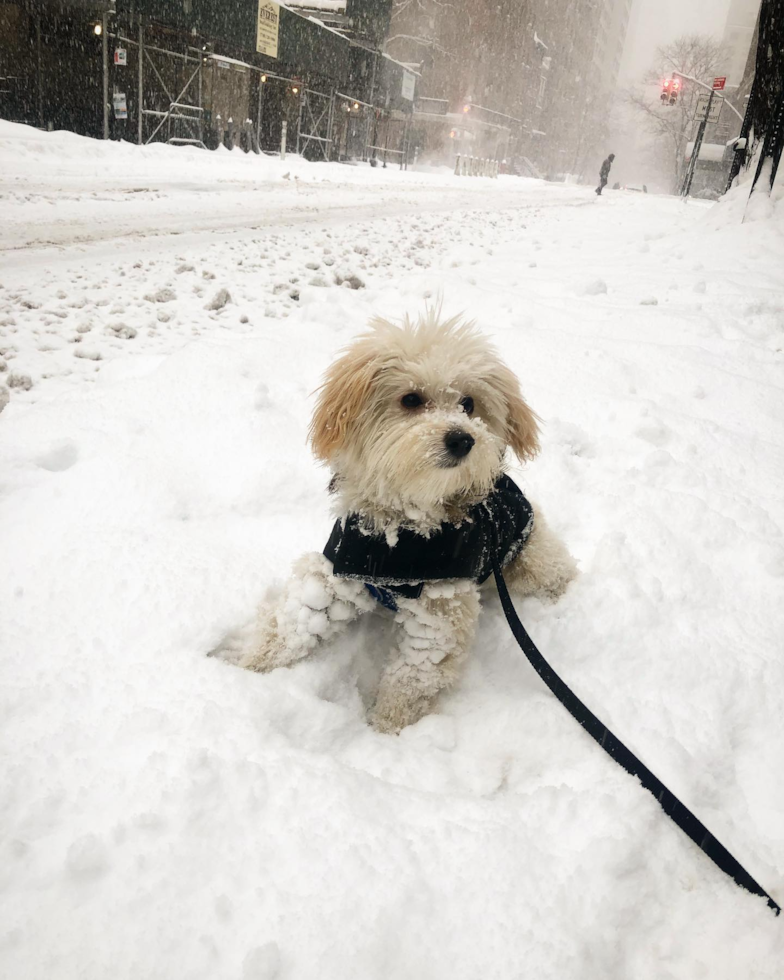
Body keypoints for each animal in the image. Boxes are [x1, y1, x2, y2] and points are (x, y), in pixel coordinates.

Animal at [239, 310, 576, 732]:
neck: (400, 535)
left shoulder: (439, 614)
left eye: (469, 403)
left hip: (528, 560)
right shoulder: (339, 574)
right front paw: (244, 666)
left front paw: (385, 732)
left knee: (558, 573)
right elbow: (295, 622)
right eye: (411, 399)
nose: (463, 439)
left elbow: (411, 680)